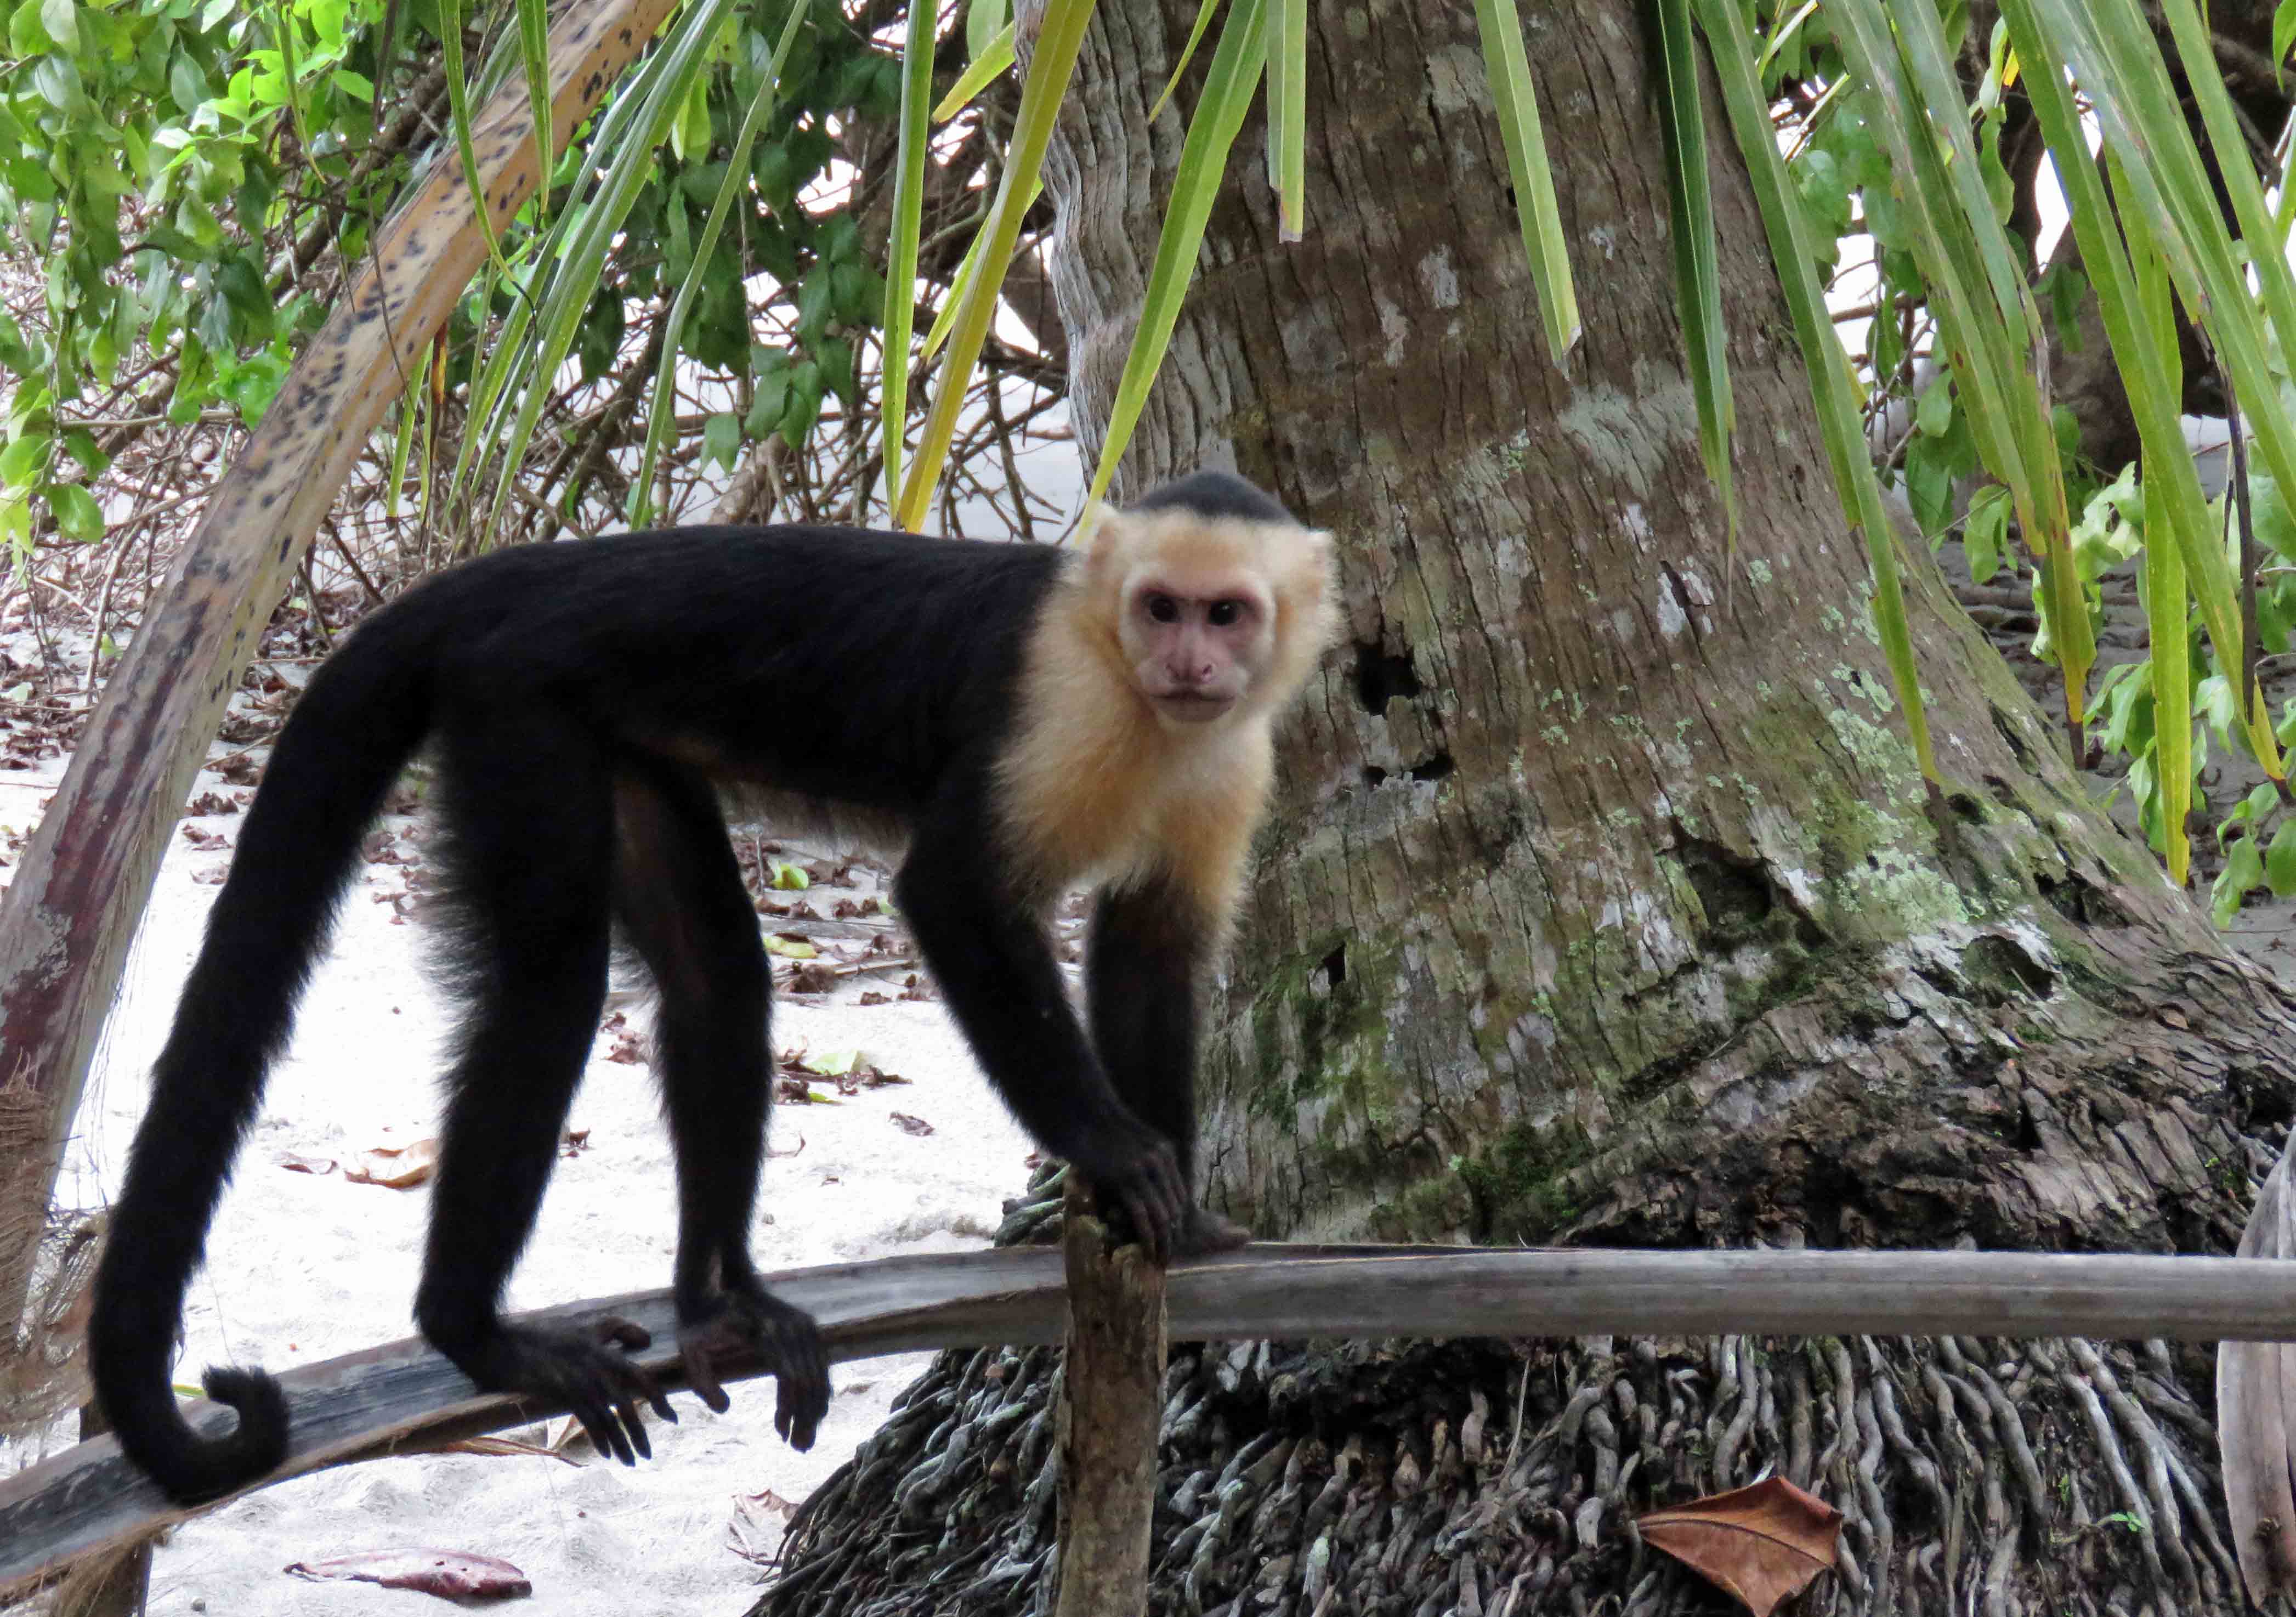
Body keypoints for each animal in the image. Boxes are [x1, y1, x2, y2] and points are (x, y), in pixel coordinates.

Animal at [88, 468, 1339, 1506]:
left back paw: (715, 1297)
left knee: (716, 974)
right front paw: (1111, 1147)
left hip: (610, 734)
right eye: (1160, 608)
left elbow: (1151, 947)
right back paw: (473, 1332)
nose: (1189, 663)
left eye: (1225, 614)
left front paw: (1182, 1211)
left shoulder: (1229, 752)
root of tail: (528, 569)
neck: (1130, 689)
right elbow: (952, 898)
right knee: (550, 992)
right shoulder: (1059, 704)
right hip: (517, 707)